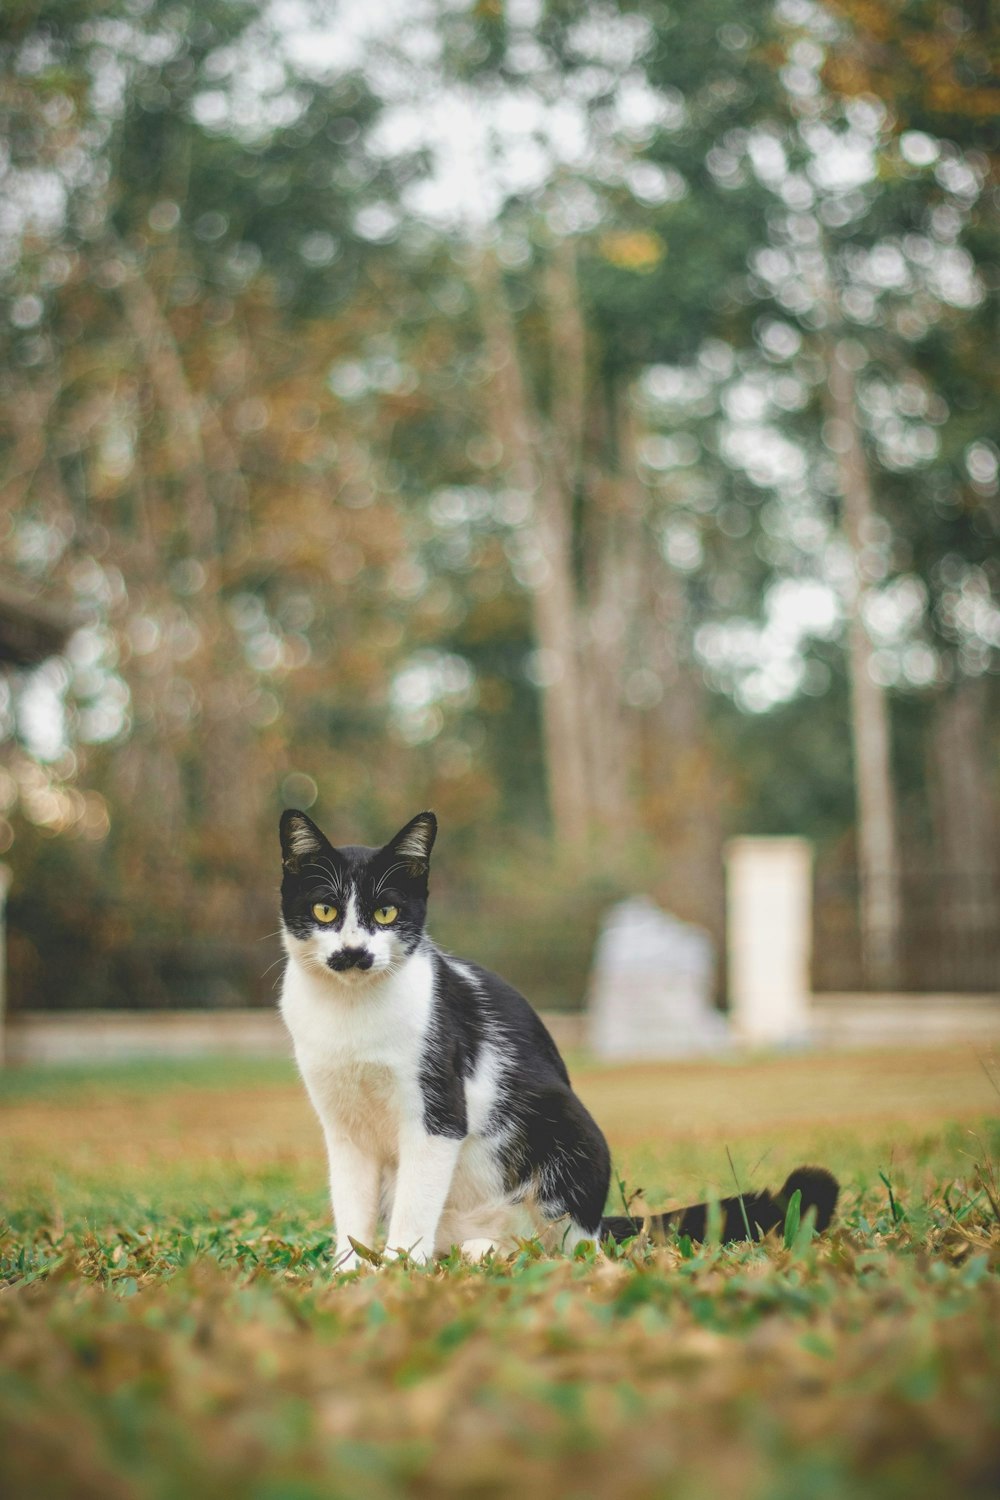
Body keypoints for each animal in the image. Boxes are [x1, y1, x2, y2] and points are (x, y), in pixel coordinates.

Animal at [275, 810, 839, 1266]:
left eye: (386, 913)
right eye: (325, 911)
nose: (354, 952)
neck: (352, 1013)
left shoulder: (437, 1113)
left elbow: (415, 1205)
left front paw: (396, 1269)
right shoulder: (344, 1130)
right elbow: (351, 1206)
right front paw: (350, 1270)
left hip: (572, 1130)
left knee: (563, 1242)